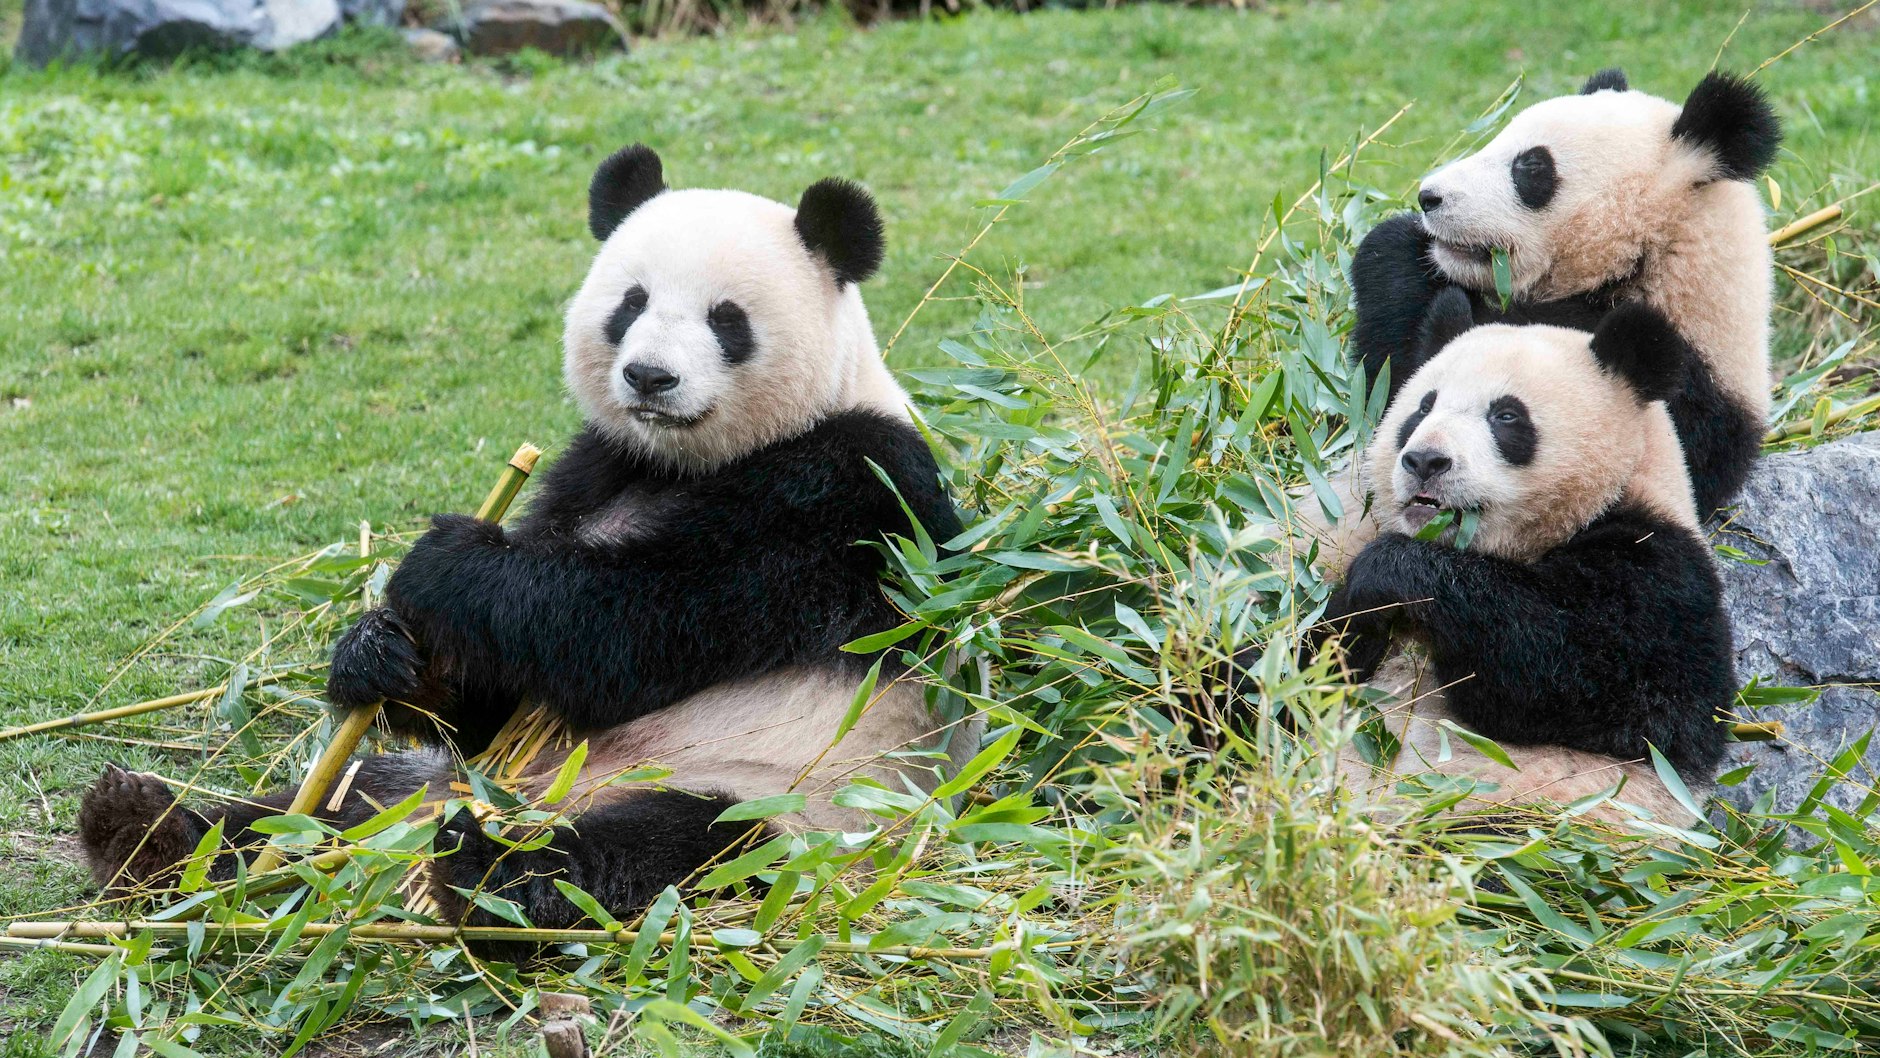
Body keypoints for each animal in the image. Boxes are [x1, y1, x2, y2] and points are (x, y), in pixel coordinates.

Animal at [76, 145, 978, 929]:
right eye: (630, 303)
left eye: (728, 319)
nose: (649, 377)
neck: (680, 463)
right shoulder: (591, 469)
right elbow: (495, 695)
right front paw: (378, 652)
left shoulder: (852, 494)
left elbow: (628, 628)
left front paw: (445, 567)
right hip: (414, 787)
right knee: (314, 808)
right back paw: (144, 832)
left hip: (789, 798)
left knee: (666, 851)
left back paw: (482, 878)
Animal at [1311, 292, 1735, 826]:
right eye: (1423, 406)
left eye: (1507, 416)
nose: (1425, 461)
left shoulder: (1662, 577)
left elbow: (1573, 671)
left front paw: (1384, 577)